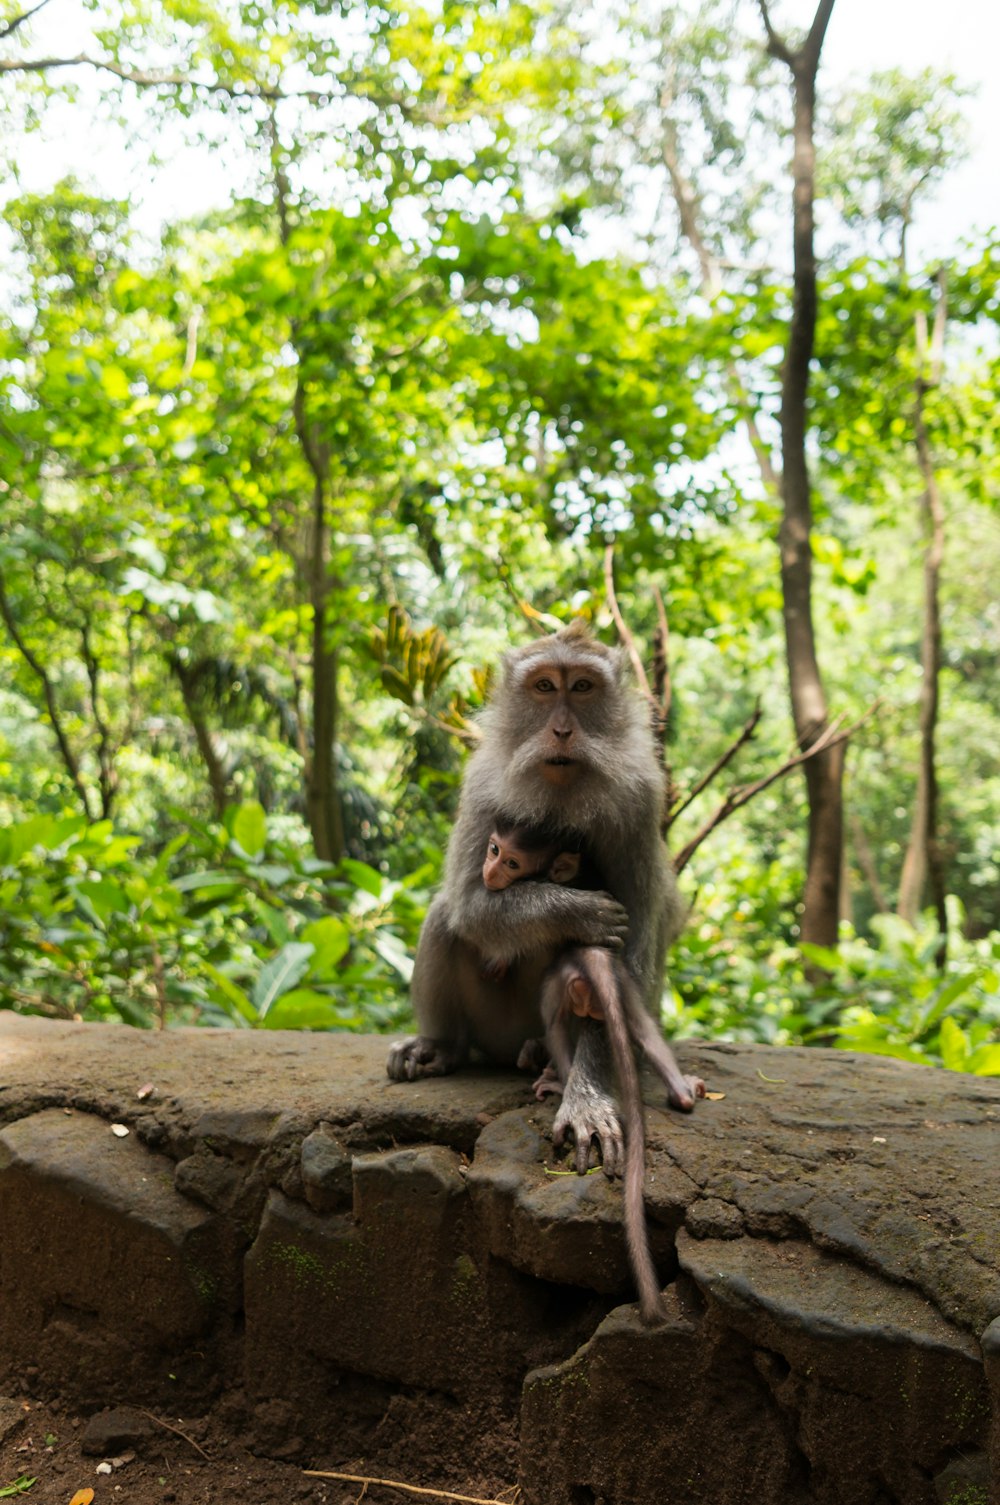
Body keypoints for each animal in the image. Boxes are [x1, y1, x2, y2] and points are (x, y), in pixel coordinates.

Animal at [385, 617, 698, 1167]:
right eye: (545, 686)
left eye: (583, 687)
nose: (563, 731)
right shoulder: (481, 782)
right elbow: (469, 903)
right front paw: (579, 911)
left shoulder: (641, 800)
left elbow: (625, 957)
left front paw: (588, 1097)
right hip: (493, 1027)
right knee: (446, 915)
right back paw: (441, 1047)